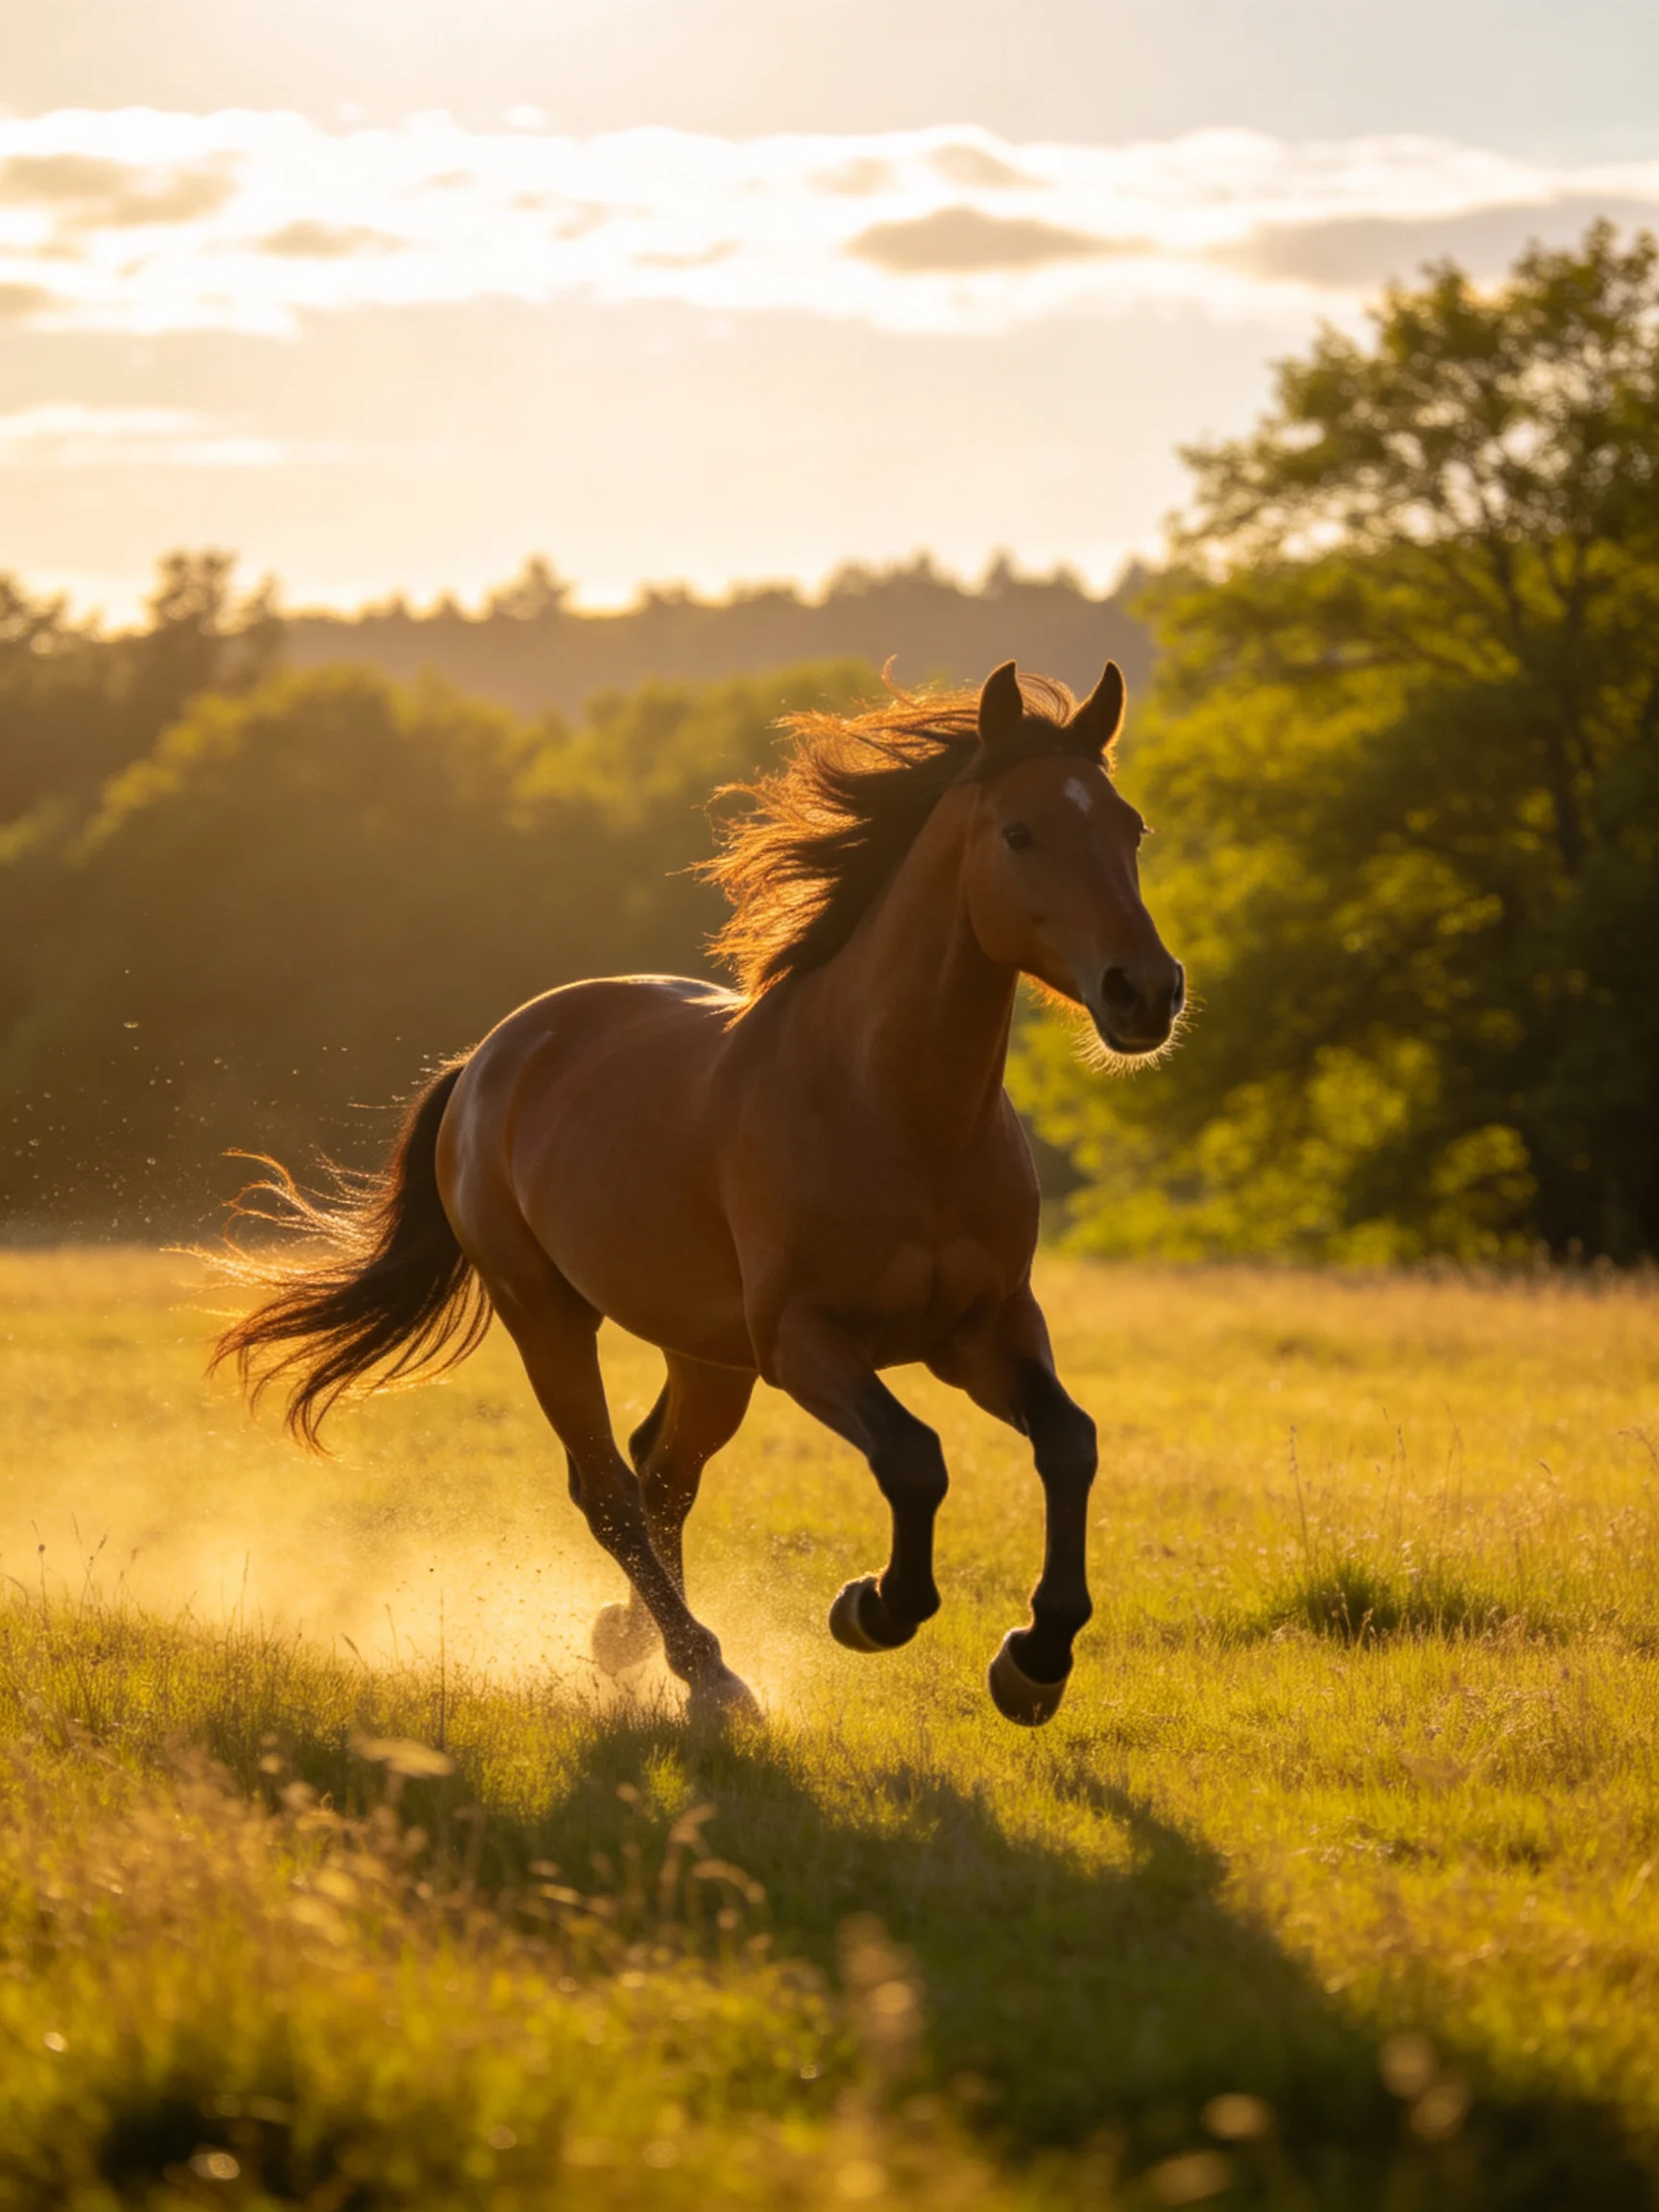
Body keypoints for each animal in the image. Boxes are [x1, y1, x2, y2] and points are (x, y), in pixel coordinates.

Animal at [213, 657, 1184, 1726]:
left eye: (1130, 826)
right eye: (1019, 832)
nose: (1146, 991)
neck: (893, 1110)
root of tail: (486, 1059)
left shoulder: (986, 1328)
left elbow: (1069, 1443)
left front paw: (1035, 1661)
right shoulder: (804, 1340)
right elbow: (913, 1457)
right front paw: (872, 1609)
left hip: (708, 1353)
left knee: (661, 1476)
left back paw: (635, 1641)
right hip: (548, 1313)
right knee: (608, 1488)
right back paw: (709, 1672)